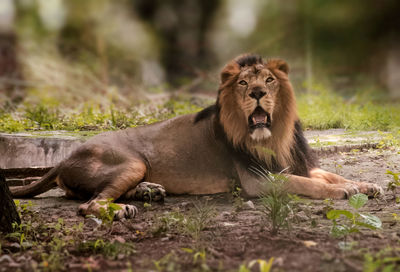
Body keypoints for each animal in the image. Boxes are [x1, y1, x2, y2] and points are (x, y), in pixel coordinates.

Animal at [10, 54, 384, 218]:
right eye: (244, 83)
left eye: (269, 80)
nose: (258, 93)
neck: (273, 135)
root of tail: (63, 160)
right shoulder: (258, 180)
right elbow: (313, 185)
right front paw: (346, 191)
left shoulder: (294, 163)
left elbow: (329, 174)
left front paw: (366, 185)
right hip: (130, 162)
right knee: (88, 204)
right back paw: (121, 209)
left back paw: (148, 191)